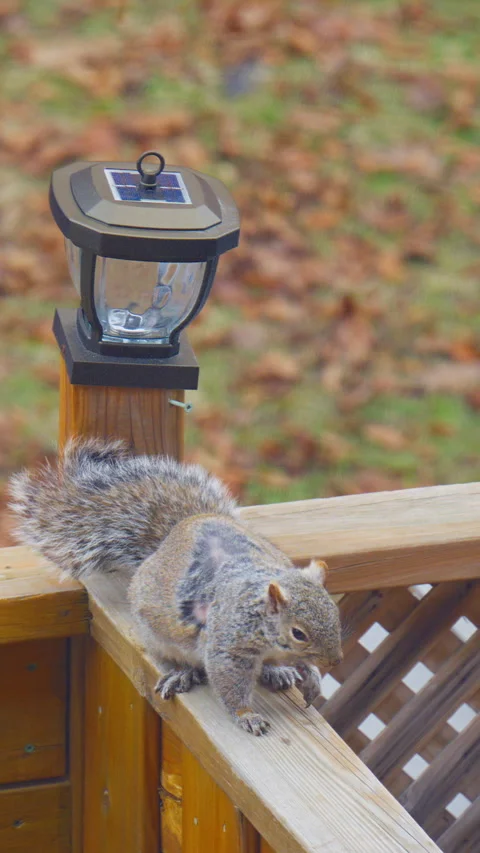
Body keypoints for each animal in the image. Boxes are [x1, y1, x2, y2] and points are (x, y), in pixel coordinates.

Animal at [9, 437, 342, 736]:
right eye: (298, 633)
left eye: (336, 617)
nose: (335, 661)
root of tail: (179, 530)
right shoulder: (226, 646)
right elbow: (230, 684)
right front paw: (246, 715)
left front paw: (311, 676)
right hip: (155, 636)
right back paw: (181, 673)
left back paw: (277, 671)